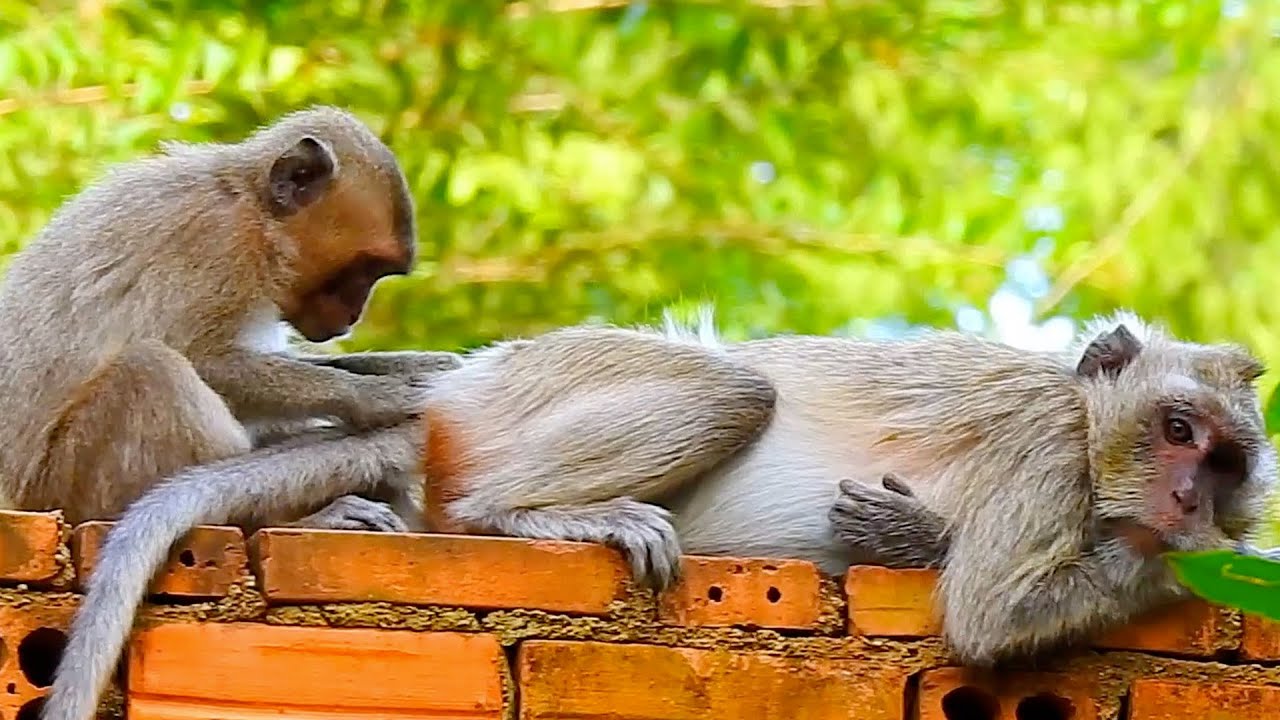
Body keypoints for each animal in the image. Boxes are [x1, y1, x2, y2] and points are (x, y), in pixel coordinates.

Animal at [42, 309, 1277, 719]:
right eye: (1174, 428)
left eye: (1223, 458)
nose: (1188, 494)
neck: (1088, 428)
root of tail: (449, 402)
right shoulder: (1044, 450)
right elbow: (983, 612)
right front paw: (1188, 556)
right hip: (539, 383)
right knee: (733, 388)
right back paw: (510, 515)